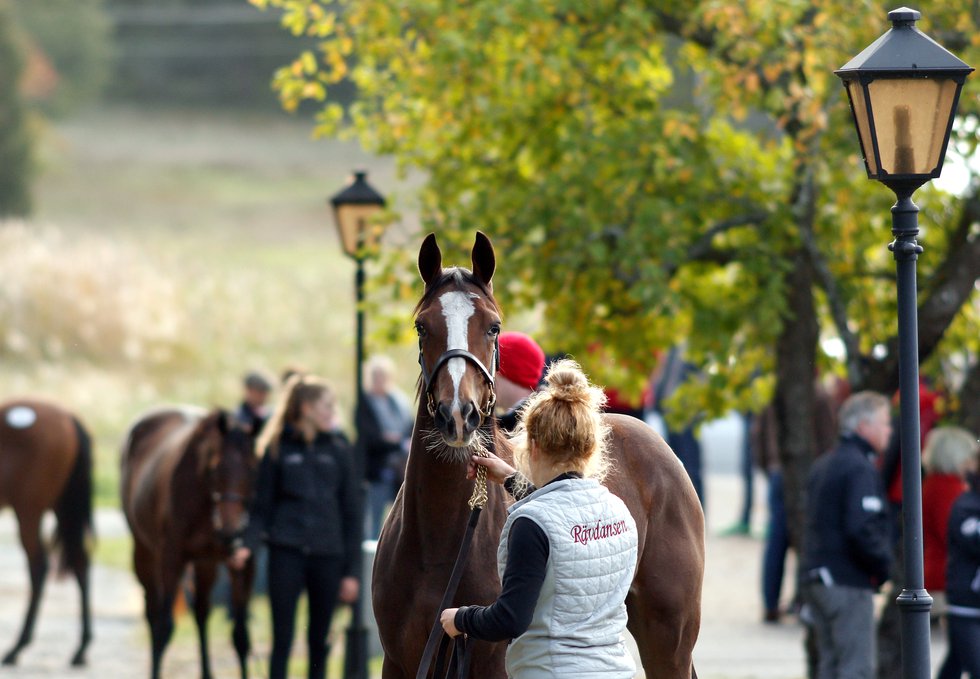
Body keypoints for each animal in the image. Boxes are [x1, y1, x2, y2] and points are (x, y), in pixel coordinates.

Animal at [0, 398, 93, 668]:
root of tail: (67, 416)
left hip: (29, 509)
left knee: (39, 566)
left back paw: (17, 647)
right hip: (62, 507)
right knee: (80, 561)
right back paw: (80, 649)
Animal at [121, 406, 256, 676]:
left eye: (252, 468)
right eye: (215, 467)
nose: (231, 533)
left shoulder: (238, 562)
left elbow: (240, 636)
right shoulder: (171, 558)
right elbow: (163, 628)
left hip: (205, 562)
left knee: (202, 611)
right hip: (145, 554)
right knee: (152, 613)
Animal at [370, 234, 704, 679]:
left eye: (493, 326)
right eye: (422, 326)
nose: (457, 414)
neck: (439, 545)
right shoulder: (399, 661)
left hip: (668, 638)